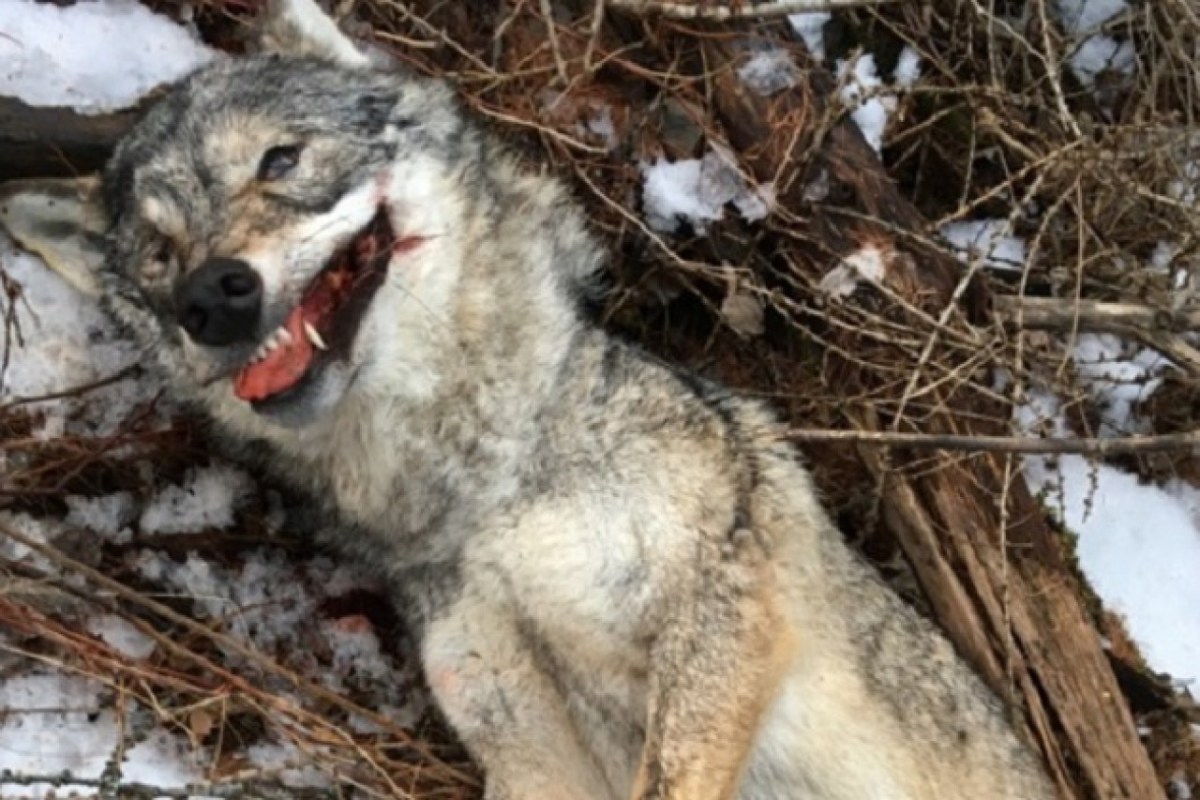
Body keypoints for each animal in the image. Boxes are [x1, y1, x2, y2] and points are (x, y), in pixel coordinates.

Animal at [0, 1, 1057, 798]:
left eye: (280, 161)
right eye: (157, 255)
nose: (209, 296)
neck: (484, 495)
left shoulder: (721, 625)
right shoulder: (526, 743)